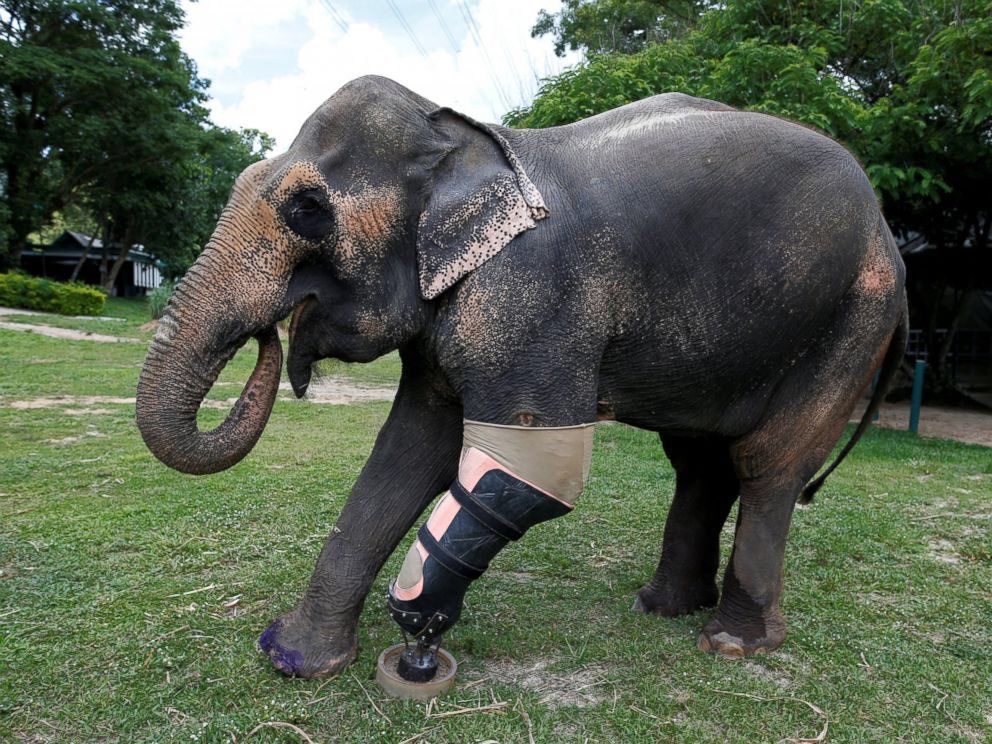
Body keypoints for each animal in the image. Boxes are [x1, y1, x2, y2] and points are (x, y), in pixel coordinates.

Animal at [136, 75, 907, 679]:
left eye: (307, 210)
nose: (272, 335)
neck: (460, 135)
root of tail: (889, 237)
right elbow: (409, 451)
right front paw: (295, 659)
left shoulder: (534, 296)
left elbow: (537, 467)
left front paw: (419, 618)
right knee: (699, 461)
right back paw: (661, 607)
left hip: (852, 319)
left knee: (766, 460)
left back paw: (732, 644)